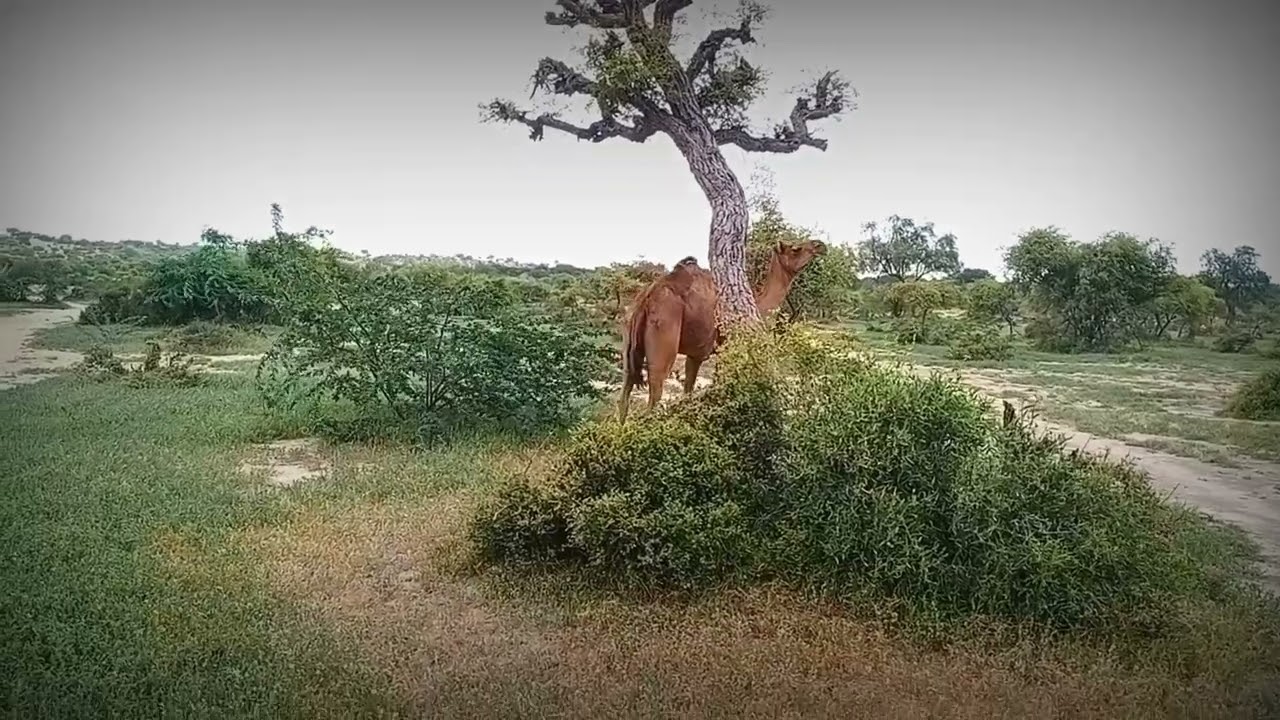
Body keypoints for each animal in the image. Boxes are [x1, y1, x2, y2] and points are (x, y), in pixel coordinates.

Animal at [617, 239, 827, 422]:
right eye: (795, 248)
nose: (820, 245)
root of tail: (646, 299)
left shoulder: (697, 353)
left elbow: (687, 394)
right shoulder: (726, 347)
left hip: (629, 343)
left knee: (624, 394)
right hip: (664, 337)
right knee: (654, 396)